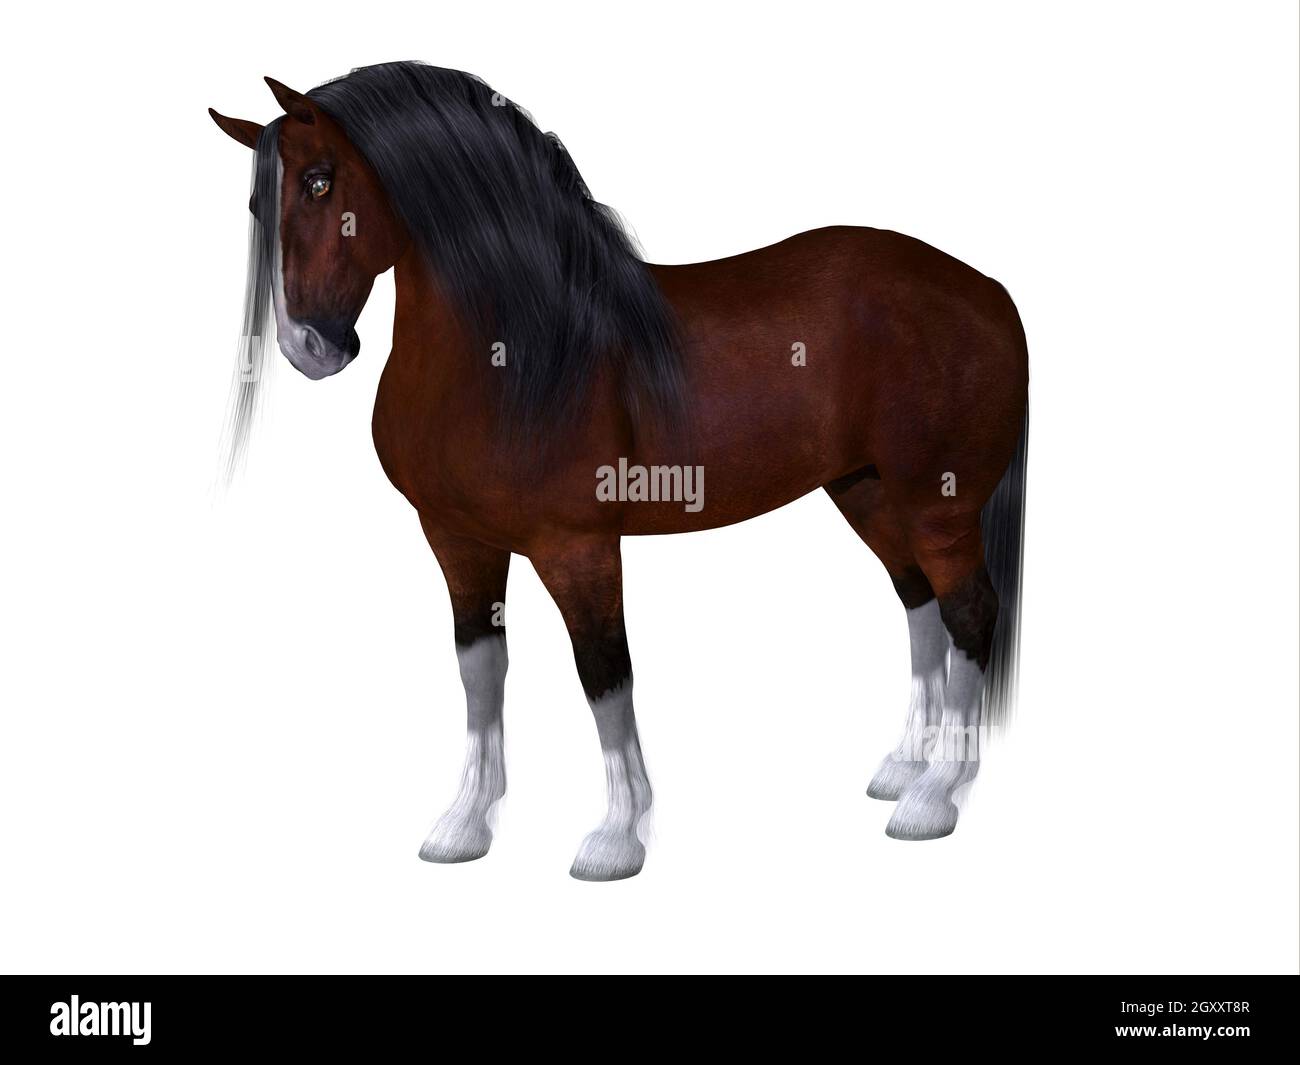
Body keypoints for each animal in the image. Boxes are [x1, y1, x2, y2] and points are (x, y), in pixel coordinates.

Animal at [209, 61, 1028, 881]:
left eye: (319, 182)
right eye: (256, 203)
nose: (310, 346)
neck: (517, 351)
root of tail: (989, 290)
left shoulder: (579, 547)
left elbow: (604, 670)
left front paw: (616, 834)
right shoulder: (458, 541)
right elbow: (481, 670)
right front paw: (465, 823)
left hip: (937, 504)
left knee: (969, 611)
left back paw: (935, 796)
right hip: (866, 491)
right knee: (919, 602)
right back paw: (903, 768)